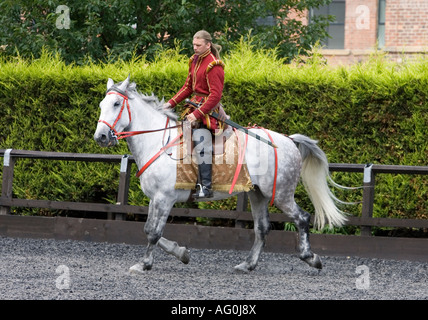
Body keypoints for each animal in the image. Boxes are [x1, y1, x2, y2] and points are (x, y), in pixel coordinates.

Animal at [93, 76, 348, 274]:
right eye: (102, 104)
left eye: (116, 103)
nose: (101, 137)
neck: (159, 141)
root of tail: (288, 140)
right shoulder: (155, 199)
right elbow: (148, 229)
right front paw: (182, 253)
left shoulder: (165, 198)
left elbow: (154, 232)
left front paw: (145, 264)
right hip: (258, 194)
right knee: (262, 228)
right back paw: (248, 264)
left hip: (281, 195)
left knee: (302, 218)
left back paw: (311, 258)